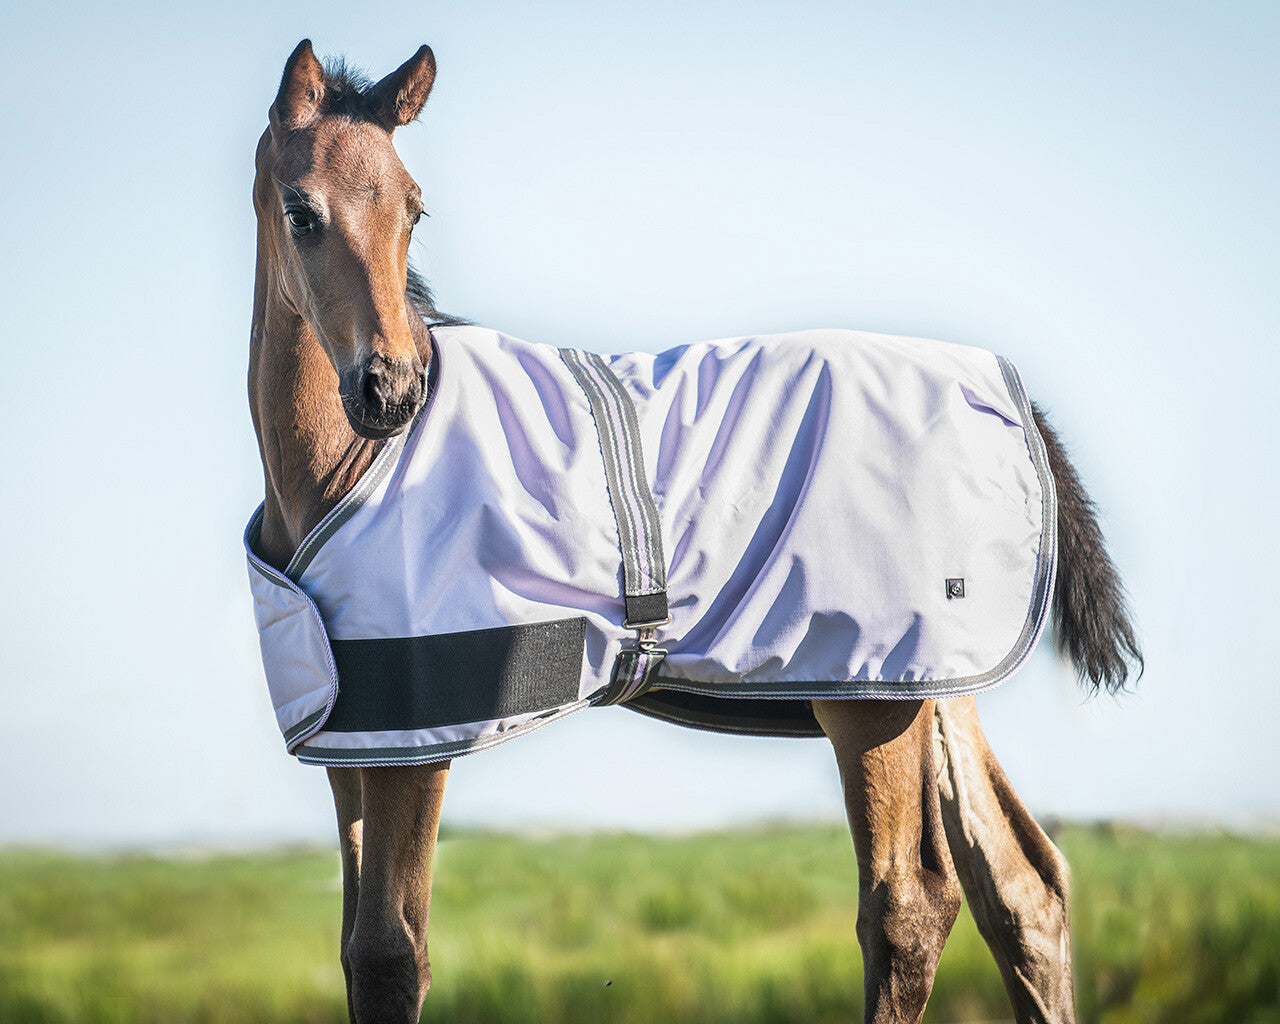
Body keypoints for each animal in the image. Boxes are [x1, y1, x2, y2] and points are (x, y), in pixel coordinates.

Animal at [247, 40, 1142, 1024]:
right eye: (302, 211)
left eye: (414, 209)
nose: (392, 389)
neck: (348, 469)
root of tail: (1006, 396)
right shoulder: (354, 738)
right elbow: (357, 954)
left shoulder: (420, 734)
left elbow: (390, 957)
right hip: (939, 676)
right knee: (1022, 886)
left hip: (872, 699)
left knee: (910, 904)